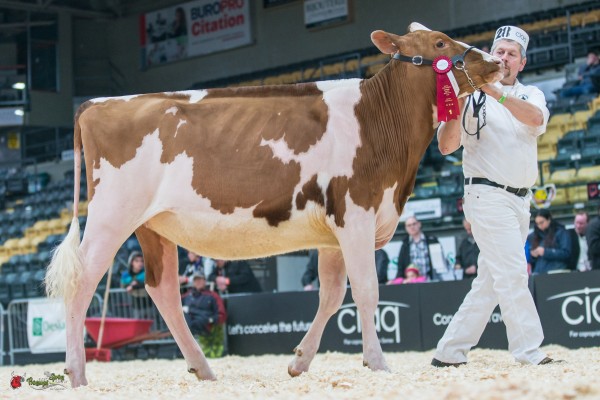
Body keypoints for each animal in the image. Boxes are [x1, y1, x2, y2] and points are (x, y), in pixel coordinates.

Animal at [45, 22, 502, 387]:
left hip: (153, 225)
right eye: (440, 43)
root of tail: (97, 103)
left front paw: (299, 362)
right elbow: (367, 291)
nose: (495, 60)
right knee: (81, 283)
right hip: (110, 217)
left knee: (164, 291)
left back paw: (203, 369)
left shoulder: (334, 232)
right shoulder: (355, 213)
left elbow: (331, 296)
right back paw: (77, 373)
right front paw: (377, 363)